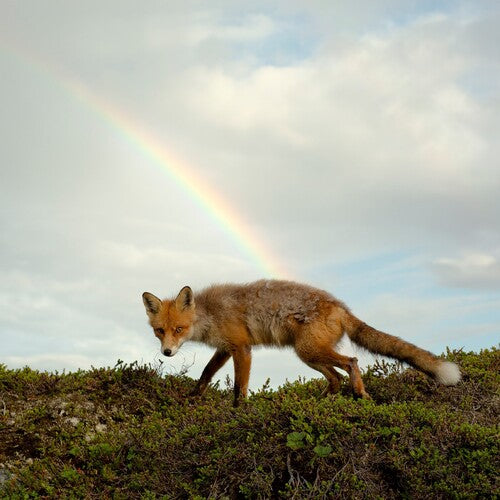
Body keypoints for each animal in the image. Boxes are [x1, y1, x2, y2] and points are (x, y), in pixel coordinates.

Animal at [141, 280, 460, 404]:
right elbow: (205, 375)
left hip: (309, 351)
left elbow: (238, 389)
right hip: (309, 356)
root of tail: (341, 306)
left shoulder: (242, 348)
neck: (211, 315)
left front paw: (238, 412)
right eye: (160, 331)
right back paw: (317, 403)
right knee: (335, 379)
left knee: (351, 362)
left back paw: (360, 394)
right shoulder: (225, 348)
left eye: (179, 329)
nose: (167, 352)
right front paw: (193, 398)